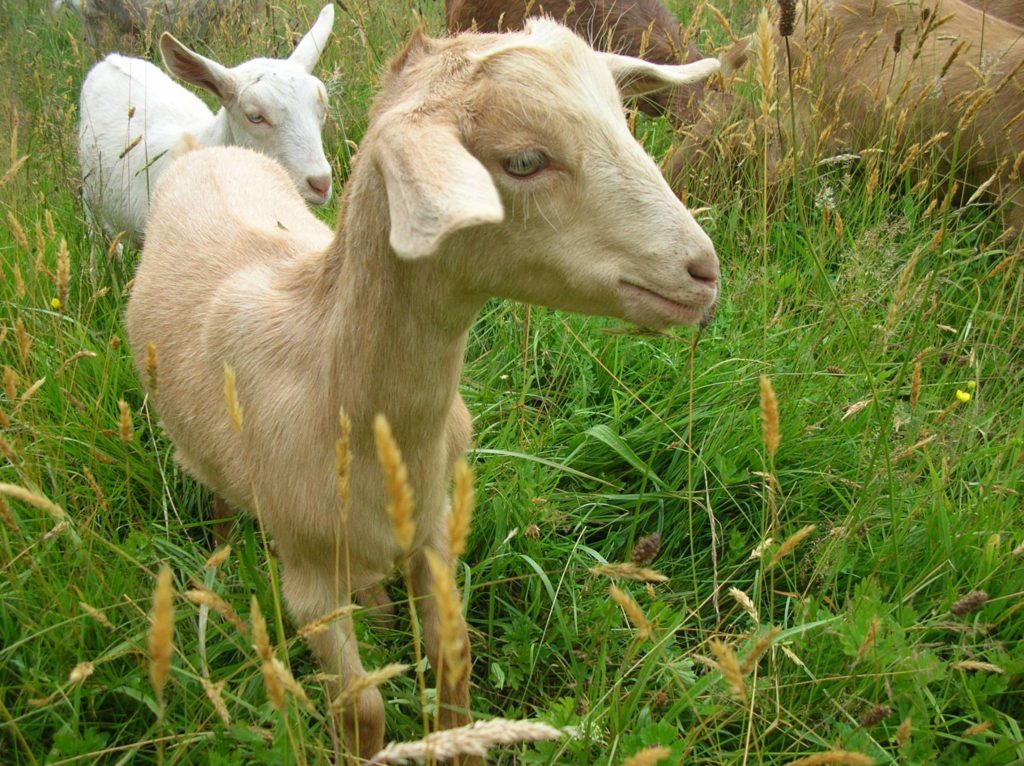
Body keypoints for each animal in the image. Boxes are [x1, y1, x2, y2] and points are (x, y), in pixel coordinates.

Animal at [125, 17, 720, 761]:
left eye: (623, 120)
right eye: (525, 161)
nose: (703, 272)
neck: (331, 380)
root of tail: (212, 156)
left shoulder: (436, 529)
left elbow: (453, 659)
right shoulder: (307, 580)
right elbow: (362, 708)